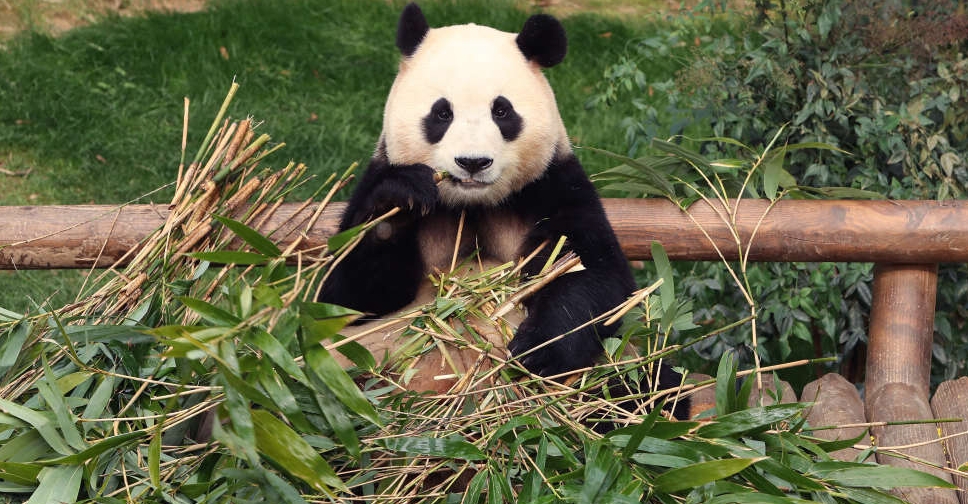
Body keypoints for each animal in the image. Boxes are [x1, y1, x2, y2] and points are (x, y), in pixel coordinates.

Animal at [318, 2, 680, 402]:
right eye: (442, 113)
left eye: (502, 111)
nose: (472, 162)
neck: (472, 205)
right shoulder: (376, 175)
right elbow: (348, 298)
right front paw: (397, 204)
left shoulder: (553, 185)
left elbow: (593, 274)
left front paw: (539, 352)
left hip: (619, 366)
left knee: (650, 385)